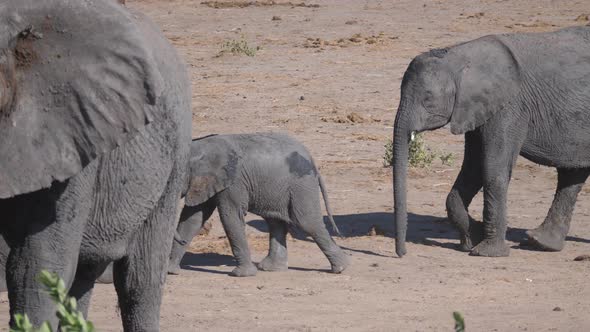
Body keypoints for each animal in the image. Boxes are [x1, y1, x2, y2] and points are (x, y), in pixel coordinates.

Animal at [169, 133, 350, 278]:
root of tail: (312, 159)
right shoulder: (206, 182)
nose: (183, 242)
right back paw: (271, 268)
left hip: (301, 183)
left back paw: (341, 268)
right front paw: (171, 271)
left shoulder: (234, 183)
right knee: (276, 221)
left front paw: (241, 275)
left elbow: (230, 217)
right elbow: (192, 219)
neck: (200, 148)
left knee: (306, 222)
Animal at [394, 27, 590, 258]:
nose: (402, 254)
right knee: (573, 174)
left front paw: (487, 252)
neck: (459, 56)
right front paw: (472, 239)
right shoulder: (475, 108)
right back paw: (540, 243)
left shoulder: (510, 106)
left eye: (428, 99)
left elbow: (491, 168)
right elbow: (473, 169)